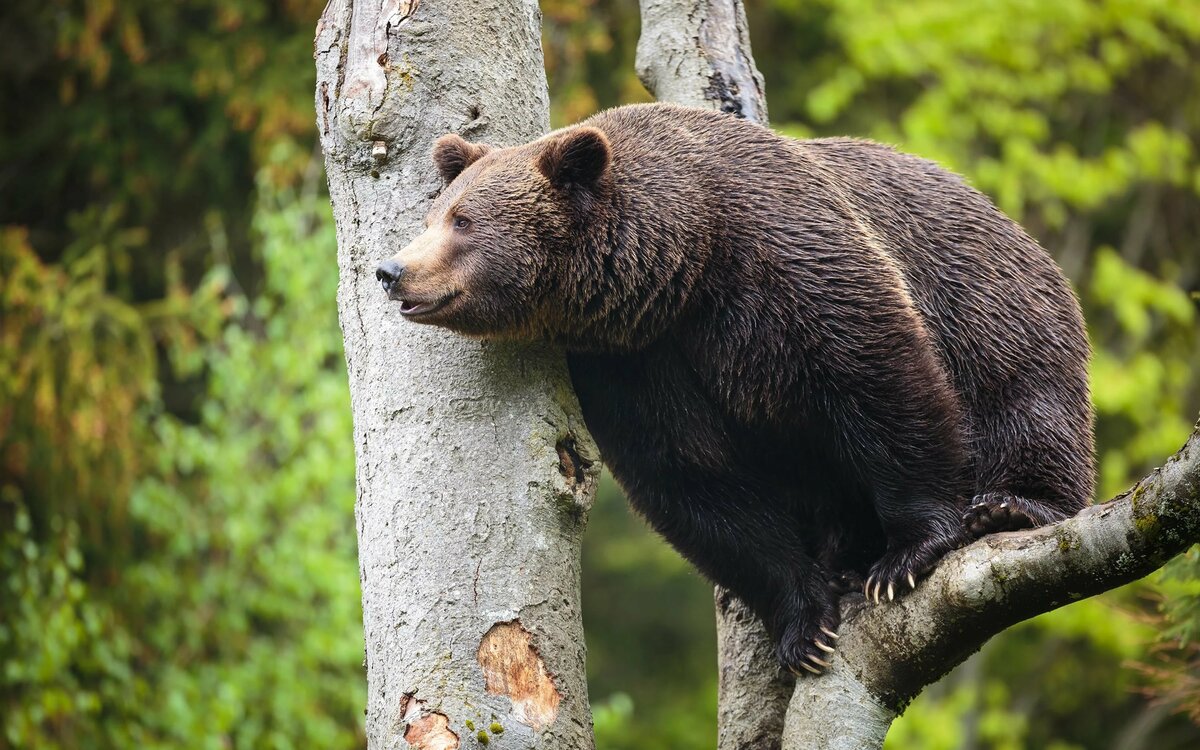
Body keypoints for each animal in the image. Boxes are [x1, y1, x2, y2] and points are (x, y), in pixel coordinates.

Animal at [374, 103, 1099, 672]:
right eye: (437, 213)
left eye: (463, 221)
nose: (391, 270)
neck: (683, 262)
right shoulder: (634, 362)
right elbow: (697, 481)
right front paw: (805, 624)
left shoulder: (787, 266)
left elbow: (880, 382)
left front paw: (905, 556)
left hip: (993, 305)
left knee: (1025, 400)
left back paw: (1010, 505)